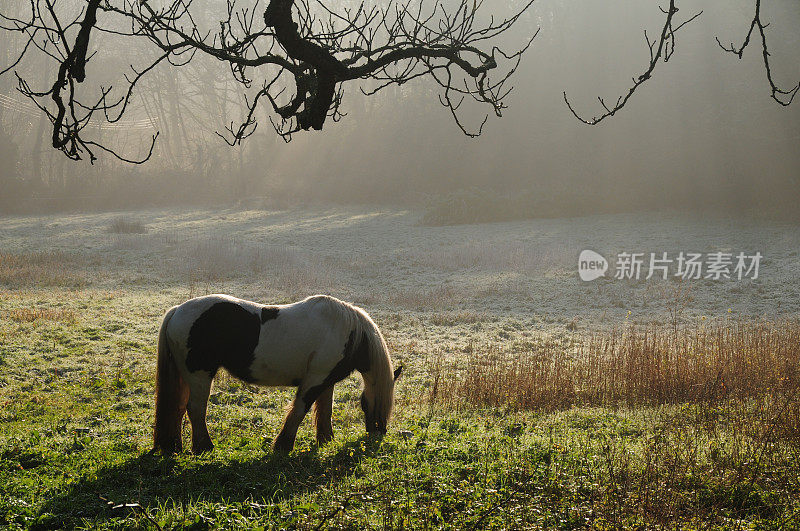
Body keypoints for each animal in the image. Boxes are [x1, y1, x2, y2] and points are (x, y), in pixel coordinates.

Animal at [152, 296, 400, 454]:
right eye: (372, 404)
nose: (379, 431)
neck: (348, 332)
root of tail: (177, 310)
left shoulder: (326, 381)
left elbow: (325, 410)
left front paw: (326, 439)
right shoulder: (315, 380)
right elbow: (300, 410)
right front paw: (283, 445)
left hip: (186, 377)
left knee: (178, 407)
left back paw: (174, 446)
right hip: (200, 375)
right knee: (195, 409)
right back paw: (204, 447)